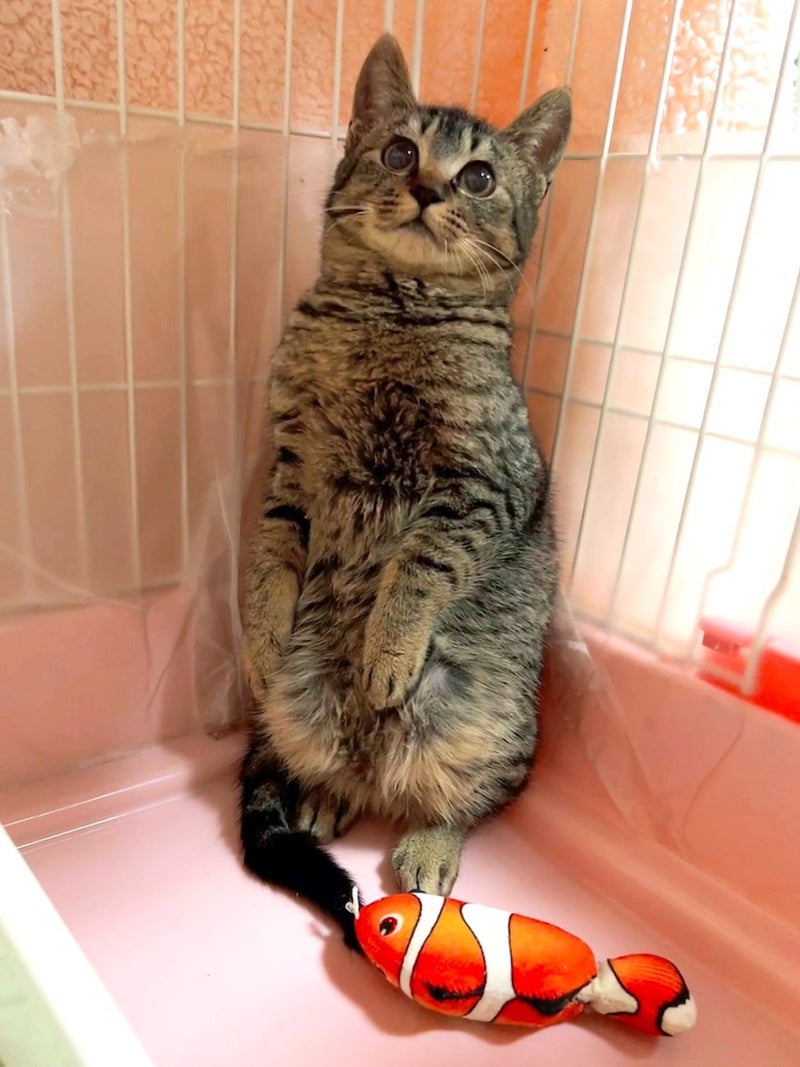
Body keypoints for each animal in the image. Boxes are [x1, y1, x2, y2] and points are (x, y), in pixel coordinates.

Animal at [240, 33, 570, 948]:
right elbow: (269, 559)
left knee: (466, 797)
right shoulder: (291, 470)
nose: (428, 188)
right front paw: (260, 632)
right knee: (331, 766)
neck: (389, 316)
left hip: (484, 720)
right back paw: (323, 792)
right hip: (294, 708)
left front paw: (387, 648)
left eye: (480, 177)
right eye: (398, 153)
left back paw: (428, 841)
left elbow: (417, 568)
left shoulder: (482, 487)